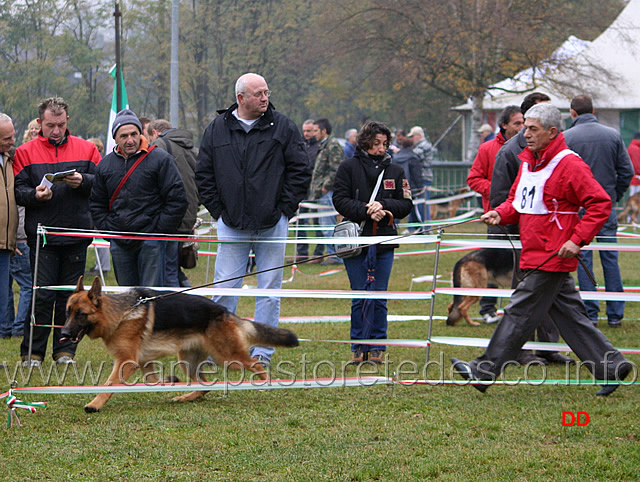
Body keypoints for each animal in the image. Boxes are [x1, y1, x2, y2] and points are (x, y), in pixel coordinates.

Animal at [62, 276, 300, 412]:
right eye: (67, 312)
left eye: (81, 314)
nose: (63, 333)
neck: (121, 314)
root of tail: (224, 311)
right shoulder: (143, 362)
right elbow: (153, 381)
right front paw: (169, 382)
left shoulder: (126, 362)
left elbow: (109, 385)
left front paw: (95, 404)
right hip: (188, 361)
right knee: (205, 386)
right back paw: (185, 397)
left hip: (228, 358)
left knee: (255, 363)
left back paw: (265, 382)